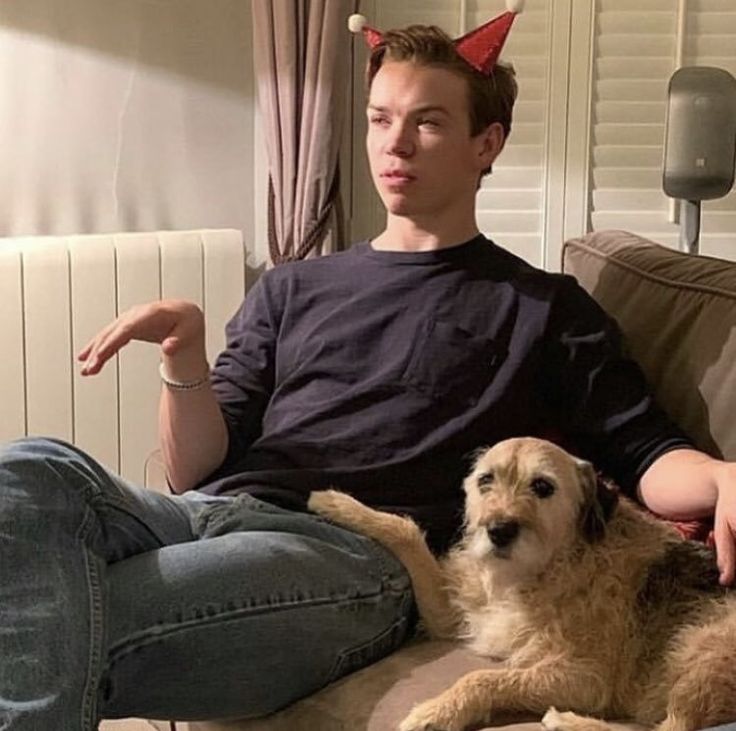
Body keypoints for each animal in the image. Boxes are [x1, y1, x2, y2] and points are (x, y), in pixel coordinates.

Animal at [306, 438, 736, 728]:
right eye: (485, 481)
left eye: (543, 486)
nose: (498, 530)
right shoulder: (453, 615)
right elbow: (405, 530)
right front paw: (336, 504)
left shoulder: (586, 678)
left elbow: (483, 676)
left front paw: (438, 710)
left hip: (701, 650)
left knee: (674, 728)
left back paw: (567, 722)